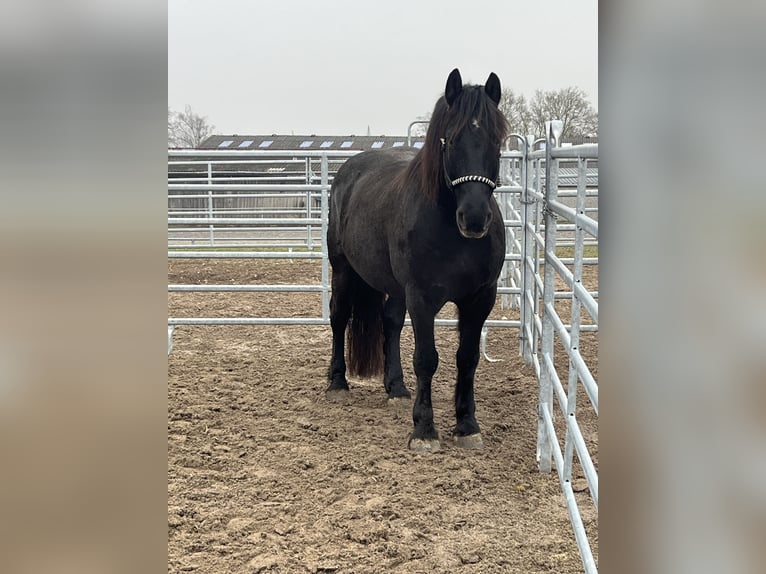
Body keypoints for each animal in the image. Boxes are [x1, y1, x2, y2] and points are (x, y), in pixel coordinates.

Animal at [326, 68, 508, 452]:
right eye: (450, 140)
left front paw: (467, 426)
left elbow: (467, 358)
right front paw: (424, 430)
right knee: (338, 316)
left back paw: (396, 389)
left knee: (391, 323)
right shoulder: (422, 298)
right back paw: (337, 384)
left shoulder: (480, 299)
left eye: (496, 140)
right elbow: (427, 359)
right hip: (343, 270)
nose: (474, 218)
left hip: (395, 287)